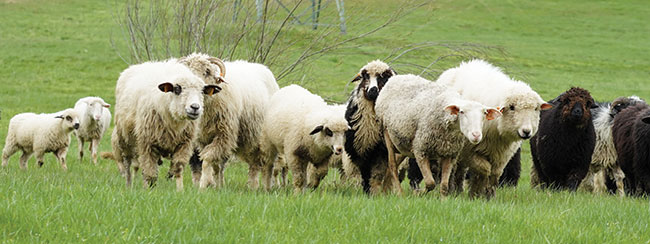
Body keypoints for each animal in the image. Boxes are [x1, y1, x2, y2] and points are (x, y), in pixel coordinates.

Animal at [107, 59, 216, 191]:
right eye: (177, 89)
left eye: (202, 91)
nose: (195, 107)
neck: (174, 121)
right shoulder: (147, 143)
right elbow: (150, 173)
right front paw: (150, 191)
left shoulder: (184, 144)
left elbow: (178, 169)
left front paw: (180, 190)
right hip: (125, 139)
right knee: (128, 164)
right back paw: (129, 185)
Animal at [432, 60, 548, 199]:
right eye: (512, 107)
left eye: (536, 109)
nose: (526, 132)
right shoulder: (469, 150)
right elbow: (485, 169)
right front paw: (476, 193)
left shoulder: (502, 155)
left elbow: (495, 173)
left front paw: (489, 196)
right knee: (453, 169)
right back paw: (453, 190)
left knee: (460, 170)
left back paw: (458, 191)